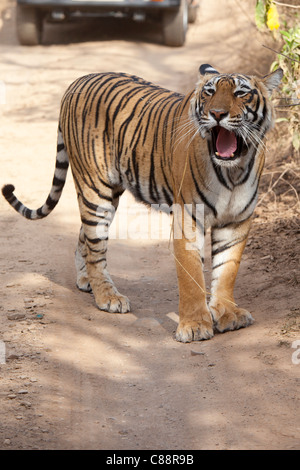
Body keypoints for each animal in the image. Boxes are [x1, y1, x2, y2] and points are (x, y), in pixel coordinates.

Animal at [2, 63, 282, 342]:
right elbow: (191, 277)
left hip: (108, 192)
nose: (217, 113)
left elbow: (227, 270)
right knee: (95, 245)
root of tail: (78, 80)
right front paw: (194, 326)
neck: (233, 171)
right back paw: (107, 296)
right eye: (209, 92)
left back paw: (86, 280)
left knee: (85, 236)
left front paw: (227, 314)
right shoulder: (188, 219)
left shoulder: (237, 221)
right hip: (95, 189)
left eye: (240, 93)